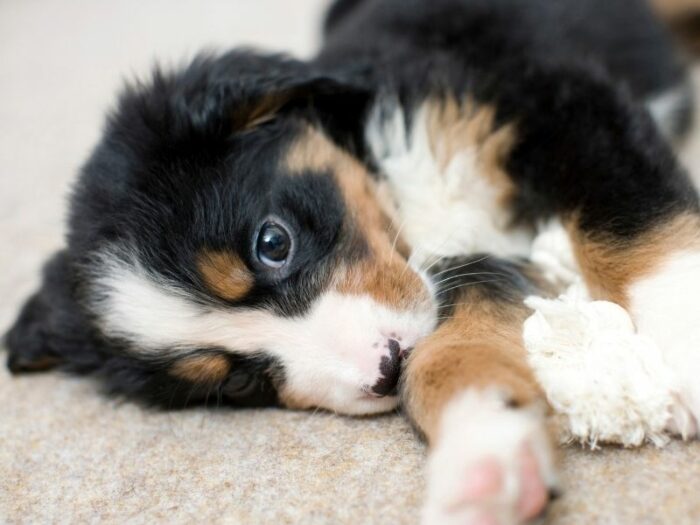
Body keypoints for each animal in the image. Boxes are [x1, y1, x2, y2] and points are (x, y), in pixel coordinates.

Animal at [5, 0, 700, 520]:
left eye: (273, 243)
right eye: (237, 383)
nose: (386, 370)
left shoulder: (554, 99)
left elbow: (633, 219)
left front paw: (686, 347)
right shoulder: (468, 259)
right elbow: (449, 356)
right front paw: (484, 457)